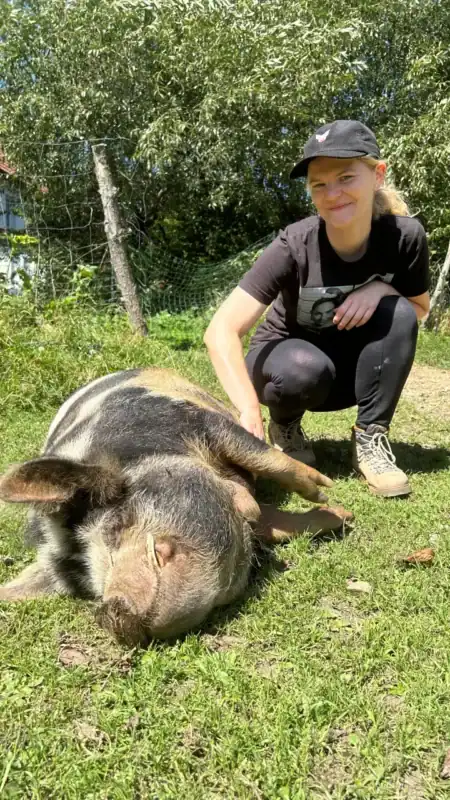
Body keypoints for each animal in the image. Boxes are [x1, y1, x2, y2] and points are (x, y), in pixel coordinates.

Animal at [0, 368, 351, 645]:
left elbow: (264, 457)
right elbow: (270, 522)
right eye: (90, 586)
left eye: (119, 524)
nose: (112, 610)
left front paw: (329, 495)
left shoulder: (200, 422)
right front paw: (340, 514)